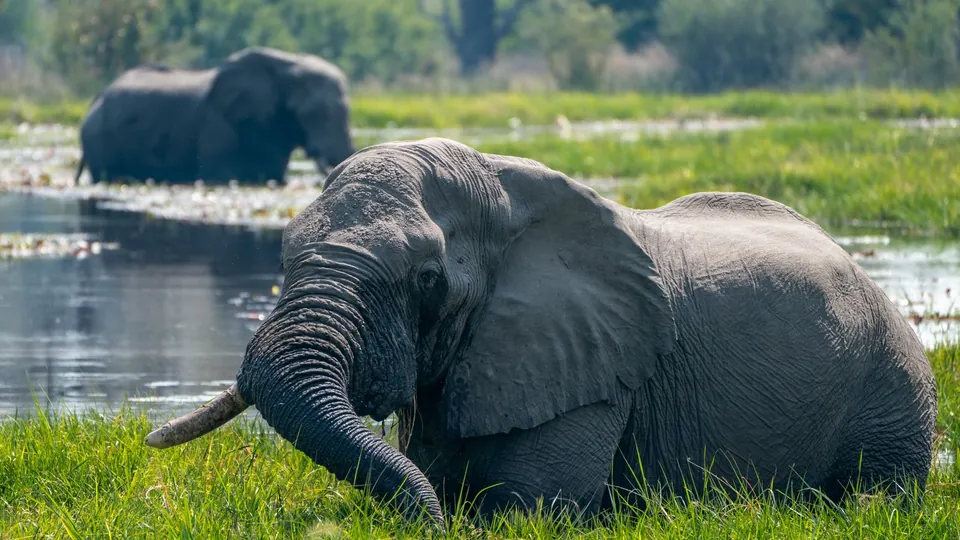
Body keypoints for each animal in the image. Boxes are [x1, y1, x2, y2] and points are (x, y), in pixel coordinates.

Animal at [74, 47, 355, 185]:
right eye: (310, 114)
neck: (287, 63)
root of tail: (95, 100)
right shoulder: (218, 125)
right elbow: (220, 176)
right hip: (99, 140)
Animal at [143, 138, 937, 529]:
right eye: (282, 254)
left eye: (426, 280)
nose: (431, 526)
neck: (499, 191)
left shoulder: (592, 368)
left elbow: (534, 508)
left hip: (890, 388)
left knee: (877, 490)